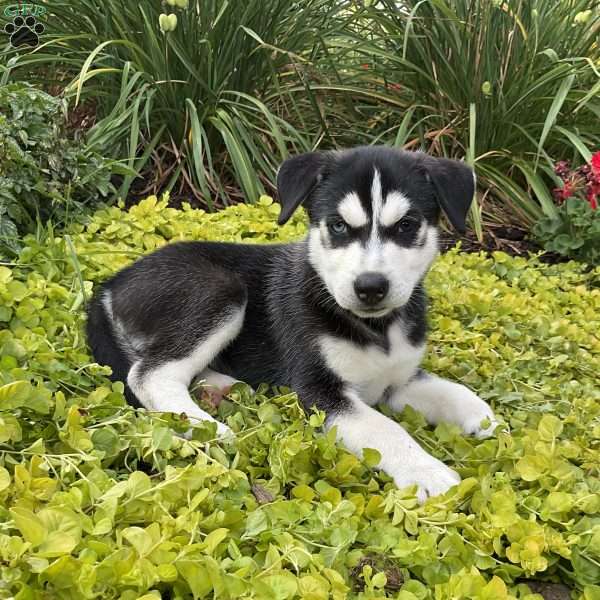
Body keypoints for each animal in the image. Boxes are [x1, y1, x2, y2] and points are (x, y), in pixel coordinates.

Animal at [86, 145, 500, 502]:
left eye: (407, 225)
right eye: (338, 226)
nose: (370, 287)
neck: (377, 327)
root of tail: (113, 281)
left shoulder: (398, 382)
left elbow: (455, 392)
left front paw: (489, 423)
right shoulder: (319, 391)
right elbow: (384, 427)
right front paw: (427, 470)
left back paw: (219, 387)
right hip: (221, 291)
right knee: (149, 374)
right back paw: (207, 425)